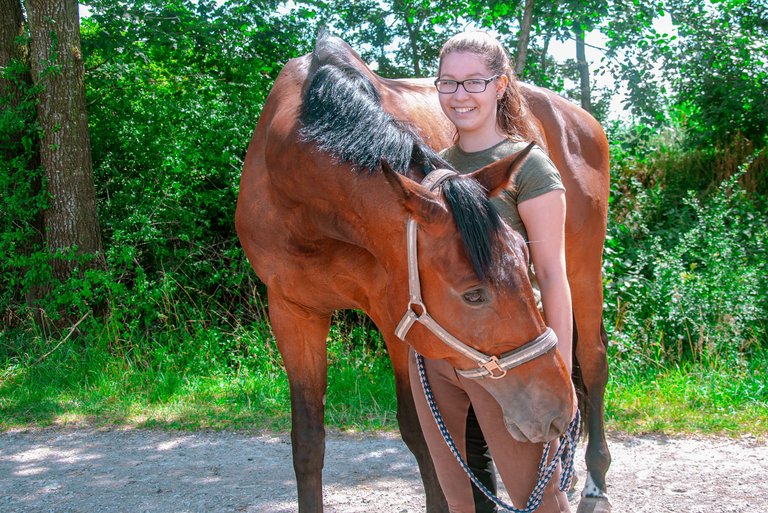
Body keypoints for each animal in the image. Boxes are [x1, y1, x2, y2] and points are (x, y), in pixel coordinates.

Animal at [237, 32, 608, 512]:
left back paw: (595, 480)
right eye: (473, 294)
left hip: (582, 269)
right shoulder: (292, 310)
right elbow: (307, 440)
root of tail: (580, 117)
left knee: (593, 360)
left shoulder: (396, 316)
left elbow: (420, 434)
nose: (556, 409)